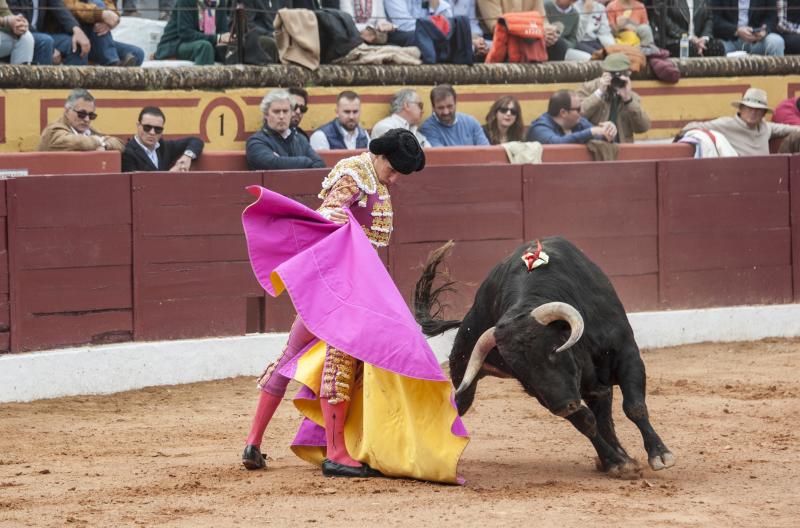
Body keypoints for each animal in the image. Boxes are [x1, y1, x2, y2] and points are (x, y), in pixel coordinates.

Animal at [412, 237, 676, 476]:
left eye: (553, 351)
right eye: (520, 372)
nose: (563, 407)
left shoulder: (626, 353)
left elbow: (634, 407)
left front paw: (660, 455)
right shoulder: (545, 393)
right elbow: (586, 422)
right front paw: (617, 463)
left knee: (605, 415)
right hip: (464, 377)